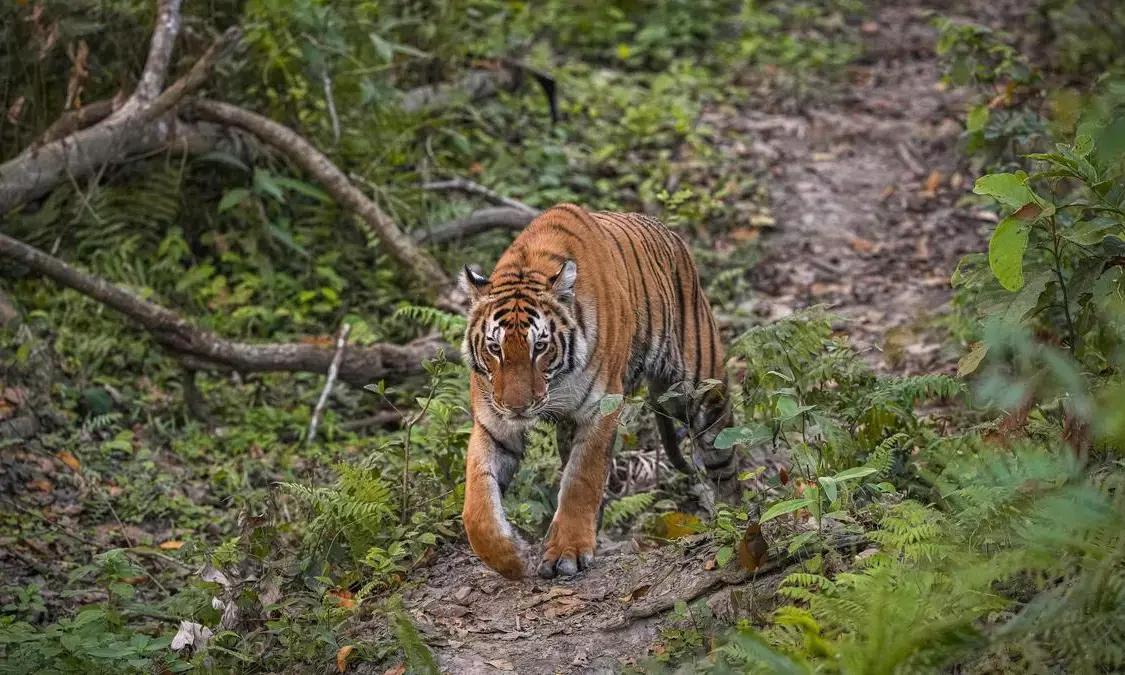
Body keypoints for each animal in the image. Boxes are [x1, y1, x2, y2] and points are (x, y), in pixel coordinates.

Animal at [459, 203, 736, 580]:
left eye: (539, 346)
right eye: (494, 348)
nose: (518, 407)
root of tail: (672, 235)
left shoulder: (600, 409)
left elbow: (581, 480)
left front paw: (568, 552)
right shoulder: (493, 424)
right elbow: (477, 503)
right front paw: (511, 560)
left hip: (699, 390)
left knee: (725, 458)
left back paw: (737, 516)